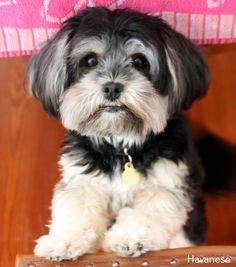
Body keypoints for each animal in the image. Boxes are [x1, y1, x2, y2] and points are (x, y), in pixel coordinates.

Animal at [26, 6, 209, 262]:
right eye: (90, 60)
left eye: (139, 62)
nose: (112, 87)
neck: (120, 145)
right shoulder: (82, 181)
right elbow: (75, 208)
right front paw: (63, 240)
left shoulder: (168, 182)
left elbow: (148, 211)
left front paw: (130, 237)